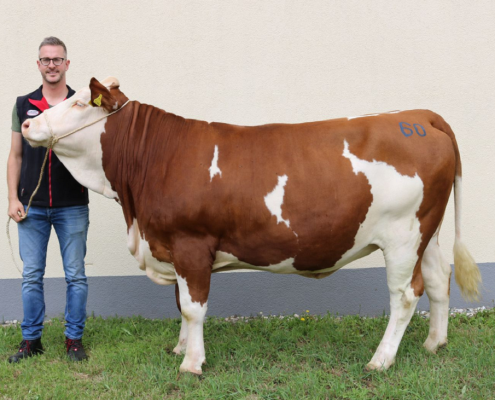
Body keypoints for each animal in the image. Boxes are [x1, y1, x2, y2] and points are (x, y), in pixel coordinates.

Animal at [21, 77, 482, 376]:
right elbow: (181, 304)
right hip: (428, 232)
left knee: (405, 295)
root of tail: (419, 115)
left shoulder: (190, 244)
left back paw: (381, 360)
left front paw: (192, 364)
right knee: (438, 280)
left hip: (404, 235)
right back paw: (433, 344)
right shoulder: (171, 246)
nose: (26, 123)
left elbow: (193, 306)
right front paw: (180, 348)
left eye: (79, 102)